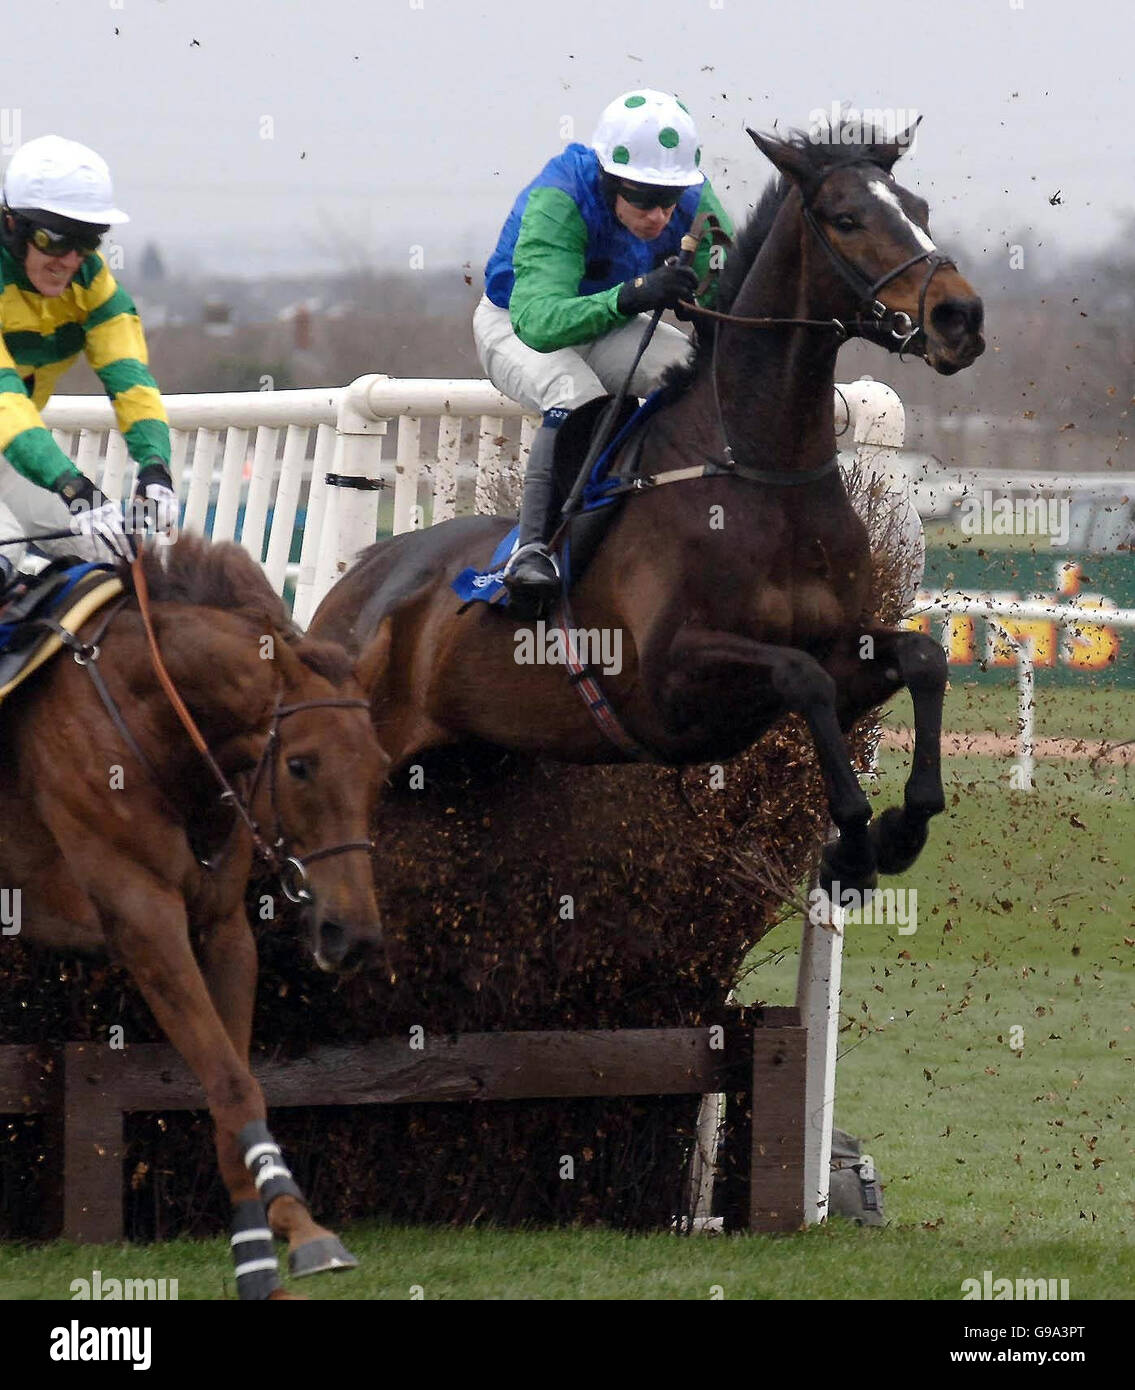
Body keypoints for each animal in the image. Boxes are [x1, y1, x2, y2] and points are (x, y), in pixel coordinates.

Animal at [0, 536, 386, 1295]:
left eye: (382, 770)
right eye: (300, 765)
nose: (350, 935)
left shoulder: (222, 927)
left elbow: (232, 1078)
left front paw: (280, 1230)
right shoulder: (143, 919)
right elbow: (231, 1080)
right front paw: (285, 1240)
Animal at [309, 125, 983, 895]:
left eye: (917, 207)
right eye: (846, 218)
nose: (959, 317)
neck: (759, 471)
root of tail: (355, 581)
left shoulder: (840, 644)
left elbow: (923, 657)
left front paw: (896, 830)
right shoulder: (668, 686)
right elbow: (801, 678)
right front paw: (851, 839)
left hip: (466, 772)